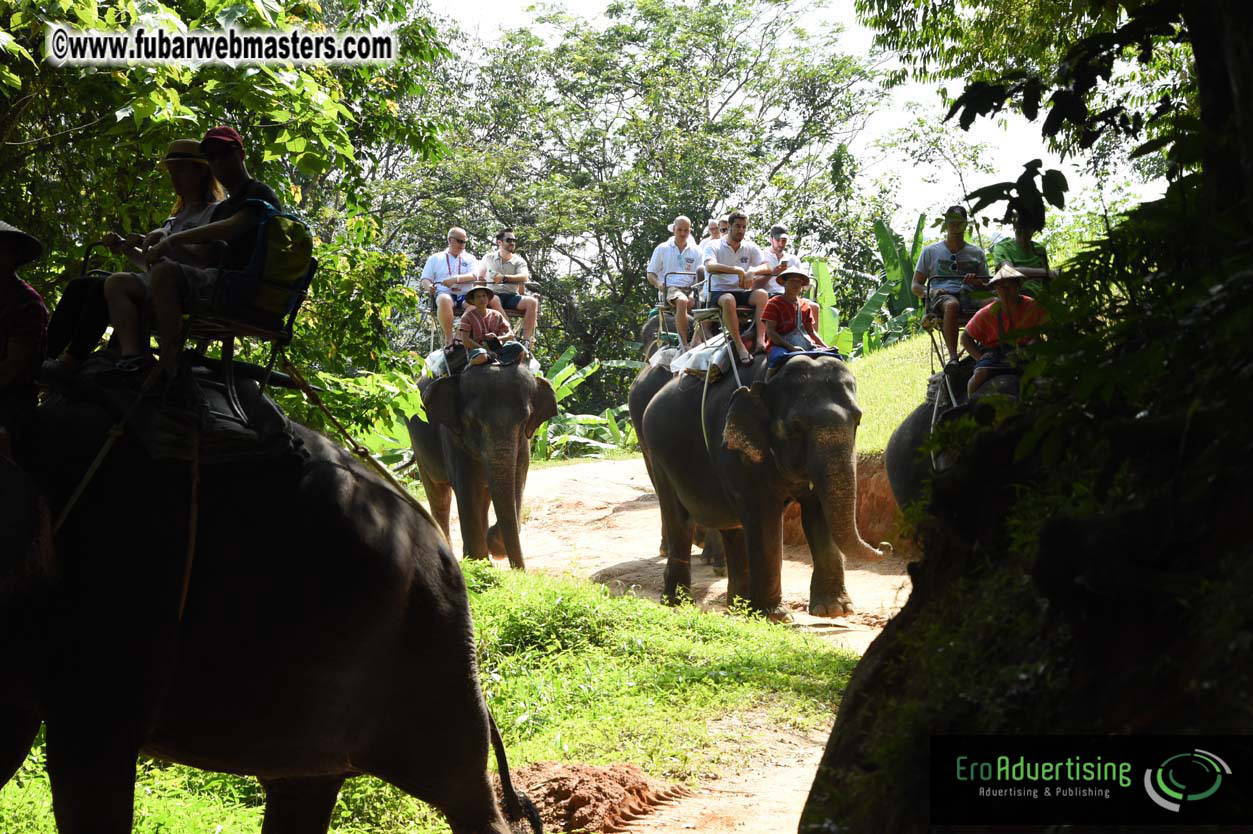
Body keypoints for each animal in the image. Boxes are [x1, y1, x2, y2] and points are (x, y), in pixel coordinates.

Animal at [408, 363, 556, 566]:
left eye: (525, 420)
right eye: (473, 422)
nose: (521, 570)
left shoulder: (524, 445)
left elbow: (517, 483)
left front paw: (494, 548)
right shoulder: (452, 438)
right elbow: (467, 490)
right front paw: (478, 561)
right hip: (419, 450)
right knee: (439, 498)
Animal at [636, 350, 892, 616]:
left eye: (858, 420)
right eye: (796, 426)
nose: (886, 545)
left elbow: (818, 513)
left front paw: (834, 610)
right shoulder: (738, 451)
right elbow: (765, 517)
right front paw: (776, 616)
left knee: (733, 526)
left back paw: (737, 609)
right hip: (657, 455)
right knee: (679, 520)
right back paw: (677, 603)